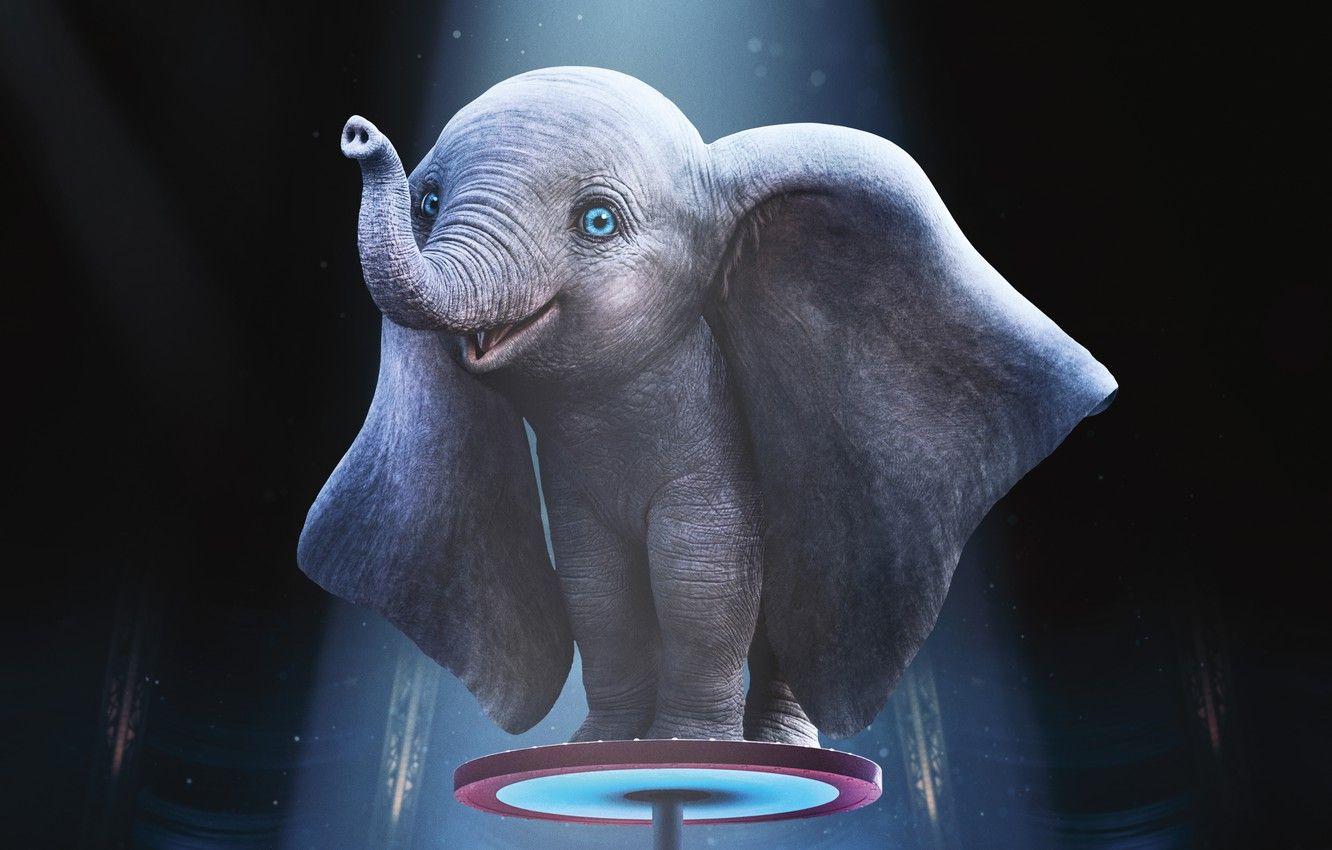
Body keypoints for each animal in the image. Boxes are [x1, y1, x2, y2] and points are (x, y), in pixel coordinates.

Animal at [298, 67, 1116, 747]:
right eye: (430, 204)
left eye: (598, 222)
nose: (358, 133)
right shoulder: (577, 495)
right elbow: (597, 591)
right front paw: (600, 748)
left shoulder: (714, 466)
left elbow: (700, 580)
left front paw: (687, 747)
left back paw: (783, 748)